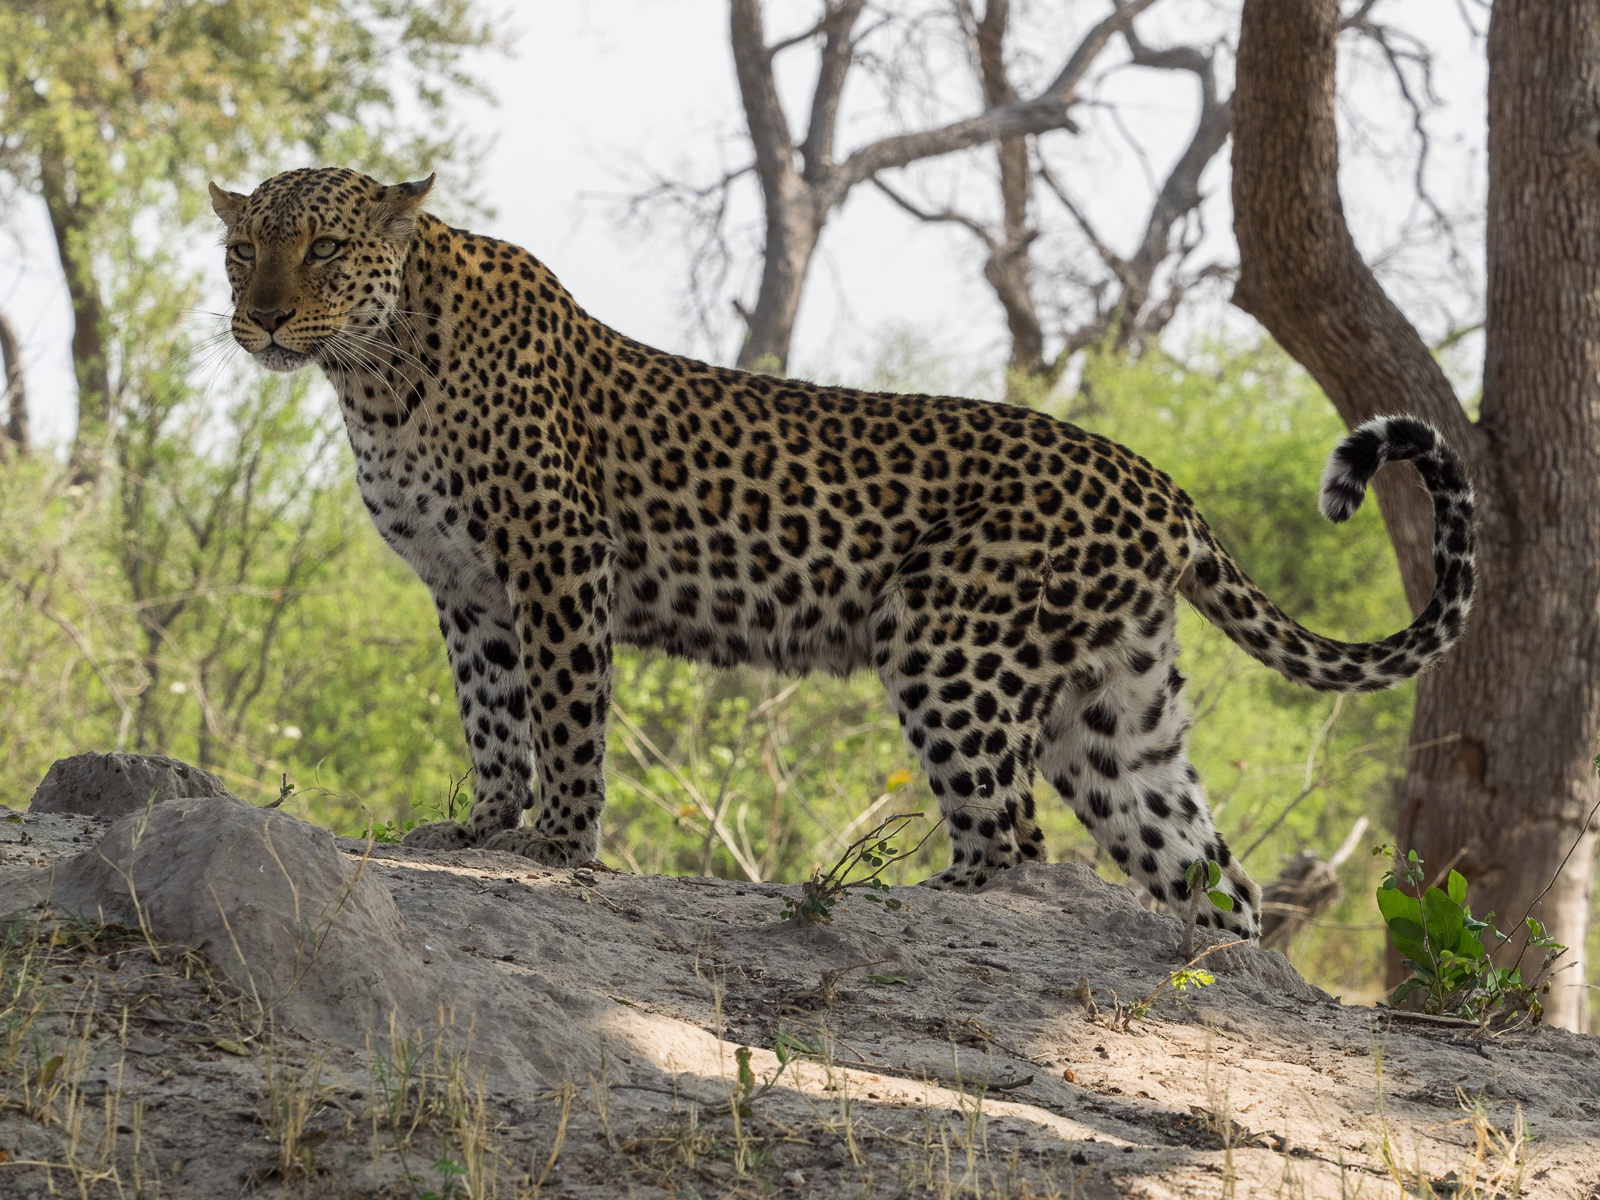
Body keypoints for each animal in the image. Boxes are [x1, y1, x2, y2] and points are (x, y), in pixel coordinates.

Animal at [209, 164, 1472, 947]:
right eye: (239, 249)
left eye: (322, 247)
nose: (258, 318)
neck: (374, 374)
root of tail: (1161, 485)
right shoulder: (468, 589)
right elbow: (490, 715)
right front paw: (481, 826)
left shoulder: (556, 560)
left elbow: (563, 714)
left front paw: (558, 841)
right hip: (1116, 707)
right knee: (1211, 872)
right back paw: (1214, 975)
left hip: (948, 646)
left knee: (1011, 838)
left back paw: (914, 901)